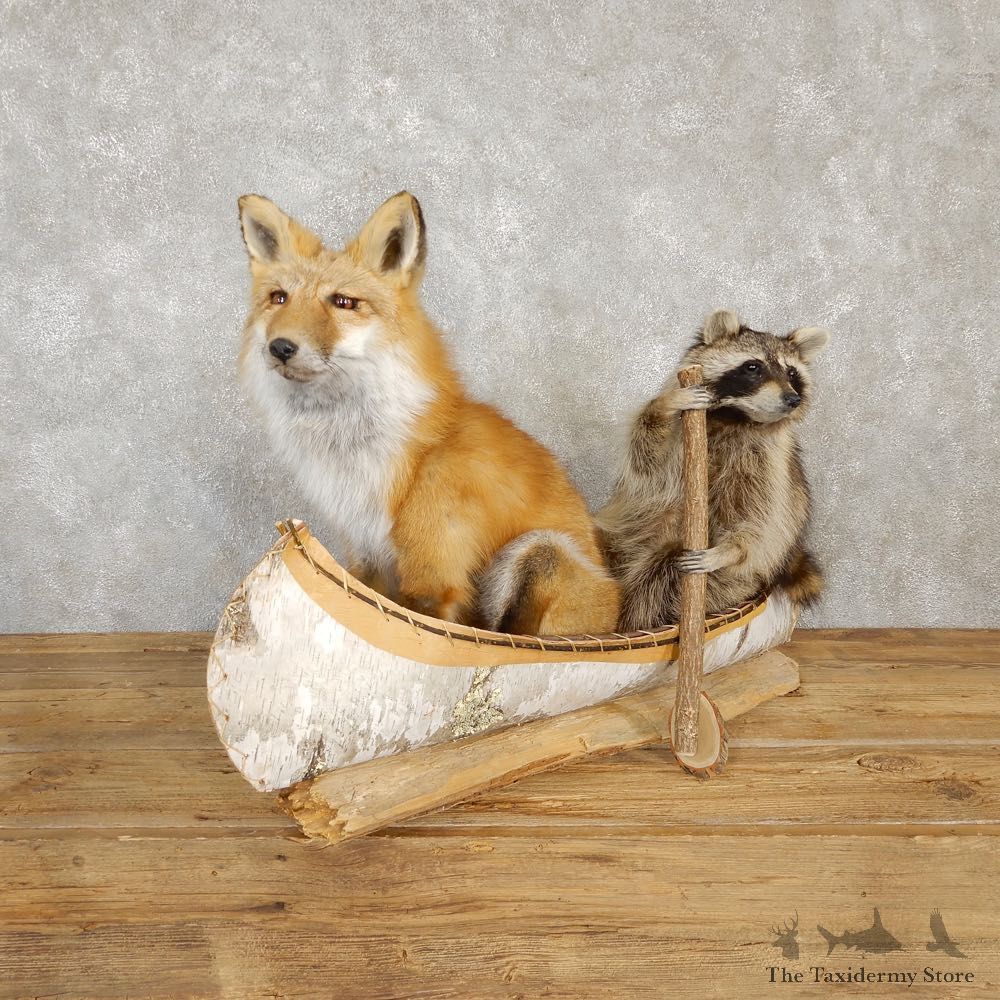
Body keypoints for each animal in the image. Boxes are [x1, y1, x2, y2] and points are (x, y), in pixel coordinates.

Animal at [236, 191, 619, 635]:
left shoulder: (433, 581)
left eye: (343, 302)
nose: (280, 346)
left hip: (538, 551)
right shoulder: (365, 563)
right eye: (279, 298)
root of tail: (619, 605)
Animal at [598, 308, 829, 631]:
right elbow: (645, 462)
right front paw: (664, 406)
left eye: (792, 373)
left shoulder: (770, 462)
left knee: (659, 577)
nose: (792, 398)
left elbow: (764, 518)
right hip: (619, 535)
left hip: (729, 586)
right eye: (753, 367)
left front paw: (732, 550)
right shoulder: (681, 439)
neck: (734, 417)